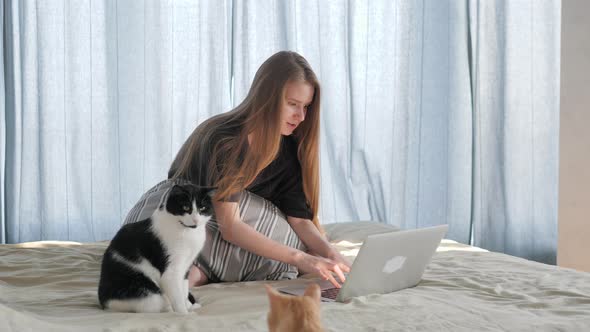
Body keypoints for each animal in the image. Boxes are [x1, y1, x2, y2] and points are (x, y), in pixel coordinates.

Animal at [98, 184, 214, 314]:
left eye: (202, 208)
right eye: (185, 207)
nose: (195, 220)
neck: (187, 231)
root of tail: (105, 305)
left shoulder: (186, 266)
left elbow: (183, 289)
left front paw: (189, 306)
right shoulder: (170, 271)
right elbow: (177, 295)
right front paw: (184, 313)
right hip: (146, 293)